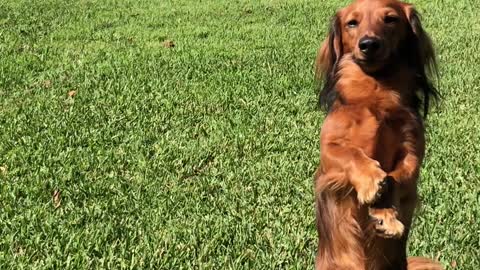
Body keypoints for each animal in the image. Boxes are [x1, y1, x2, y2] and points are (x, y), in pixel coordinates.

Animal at [314, 0, 444, 270]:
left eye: (391, 19)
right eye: (352, 23)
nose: (369, 44)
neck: (374, 94)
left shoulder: (412, 154)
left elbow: (395, 178)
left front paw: (385, 214)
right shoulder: (328, 153)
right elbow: (351, 154)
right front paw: (370, 179)